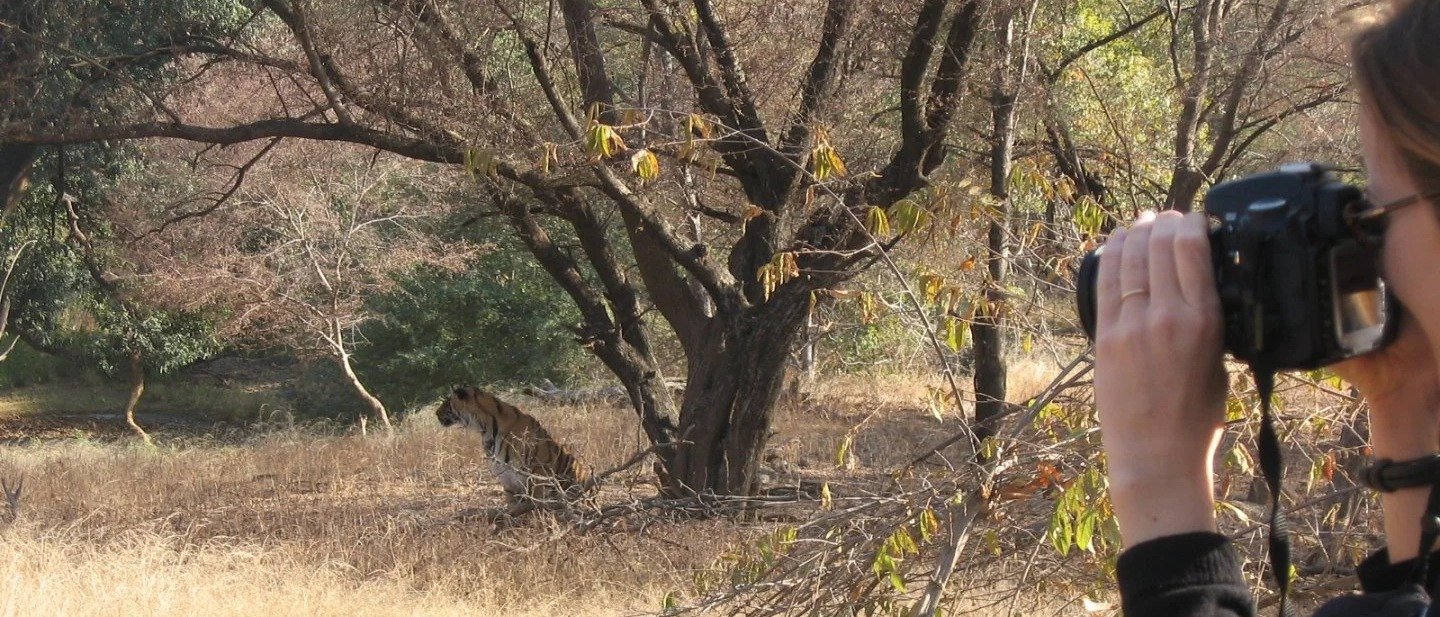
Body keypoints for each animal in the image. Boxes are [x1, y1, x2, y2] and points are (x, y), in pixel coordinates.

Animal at [436, 386, 593, 510]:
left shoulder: (537, 473)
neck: (485, 428)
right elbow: (512, 505)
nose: (436, 413)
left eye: (447, 402)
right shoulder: (506, 476)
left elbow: (535, 504)